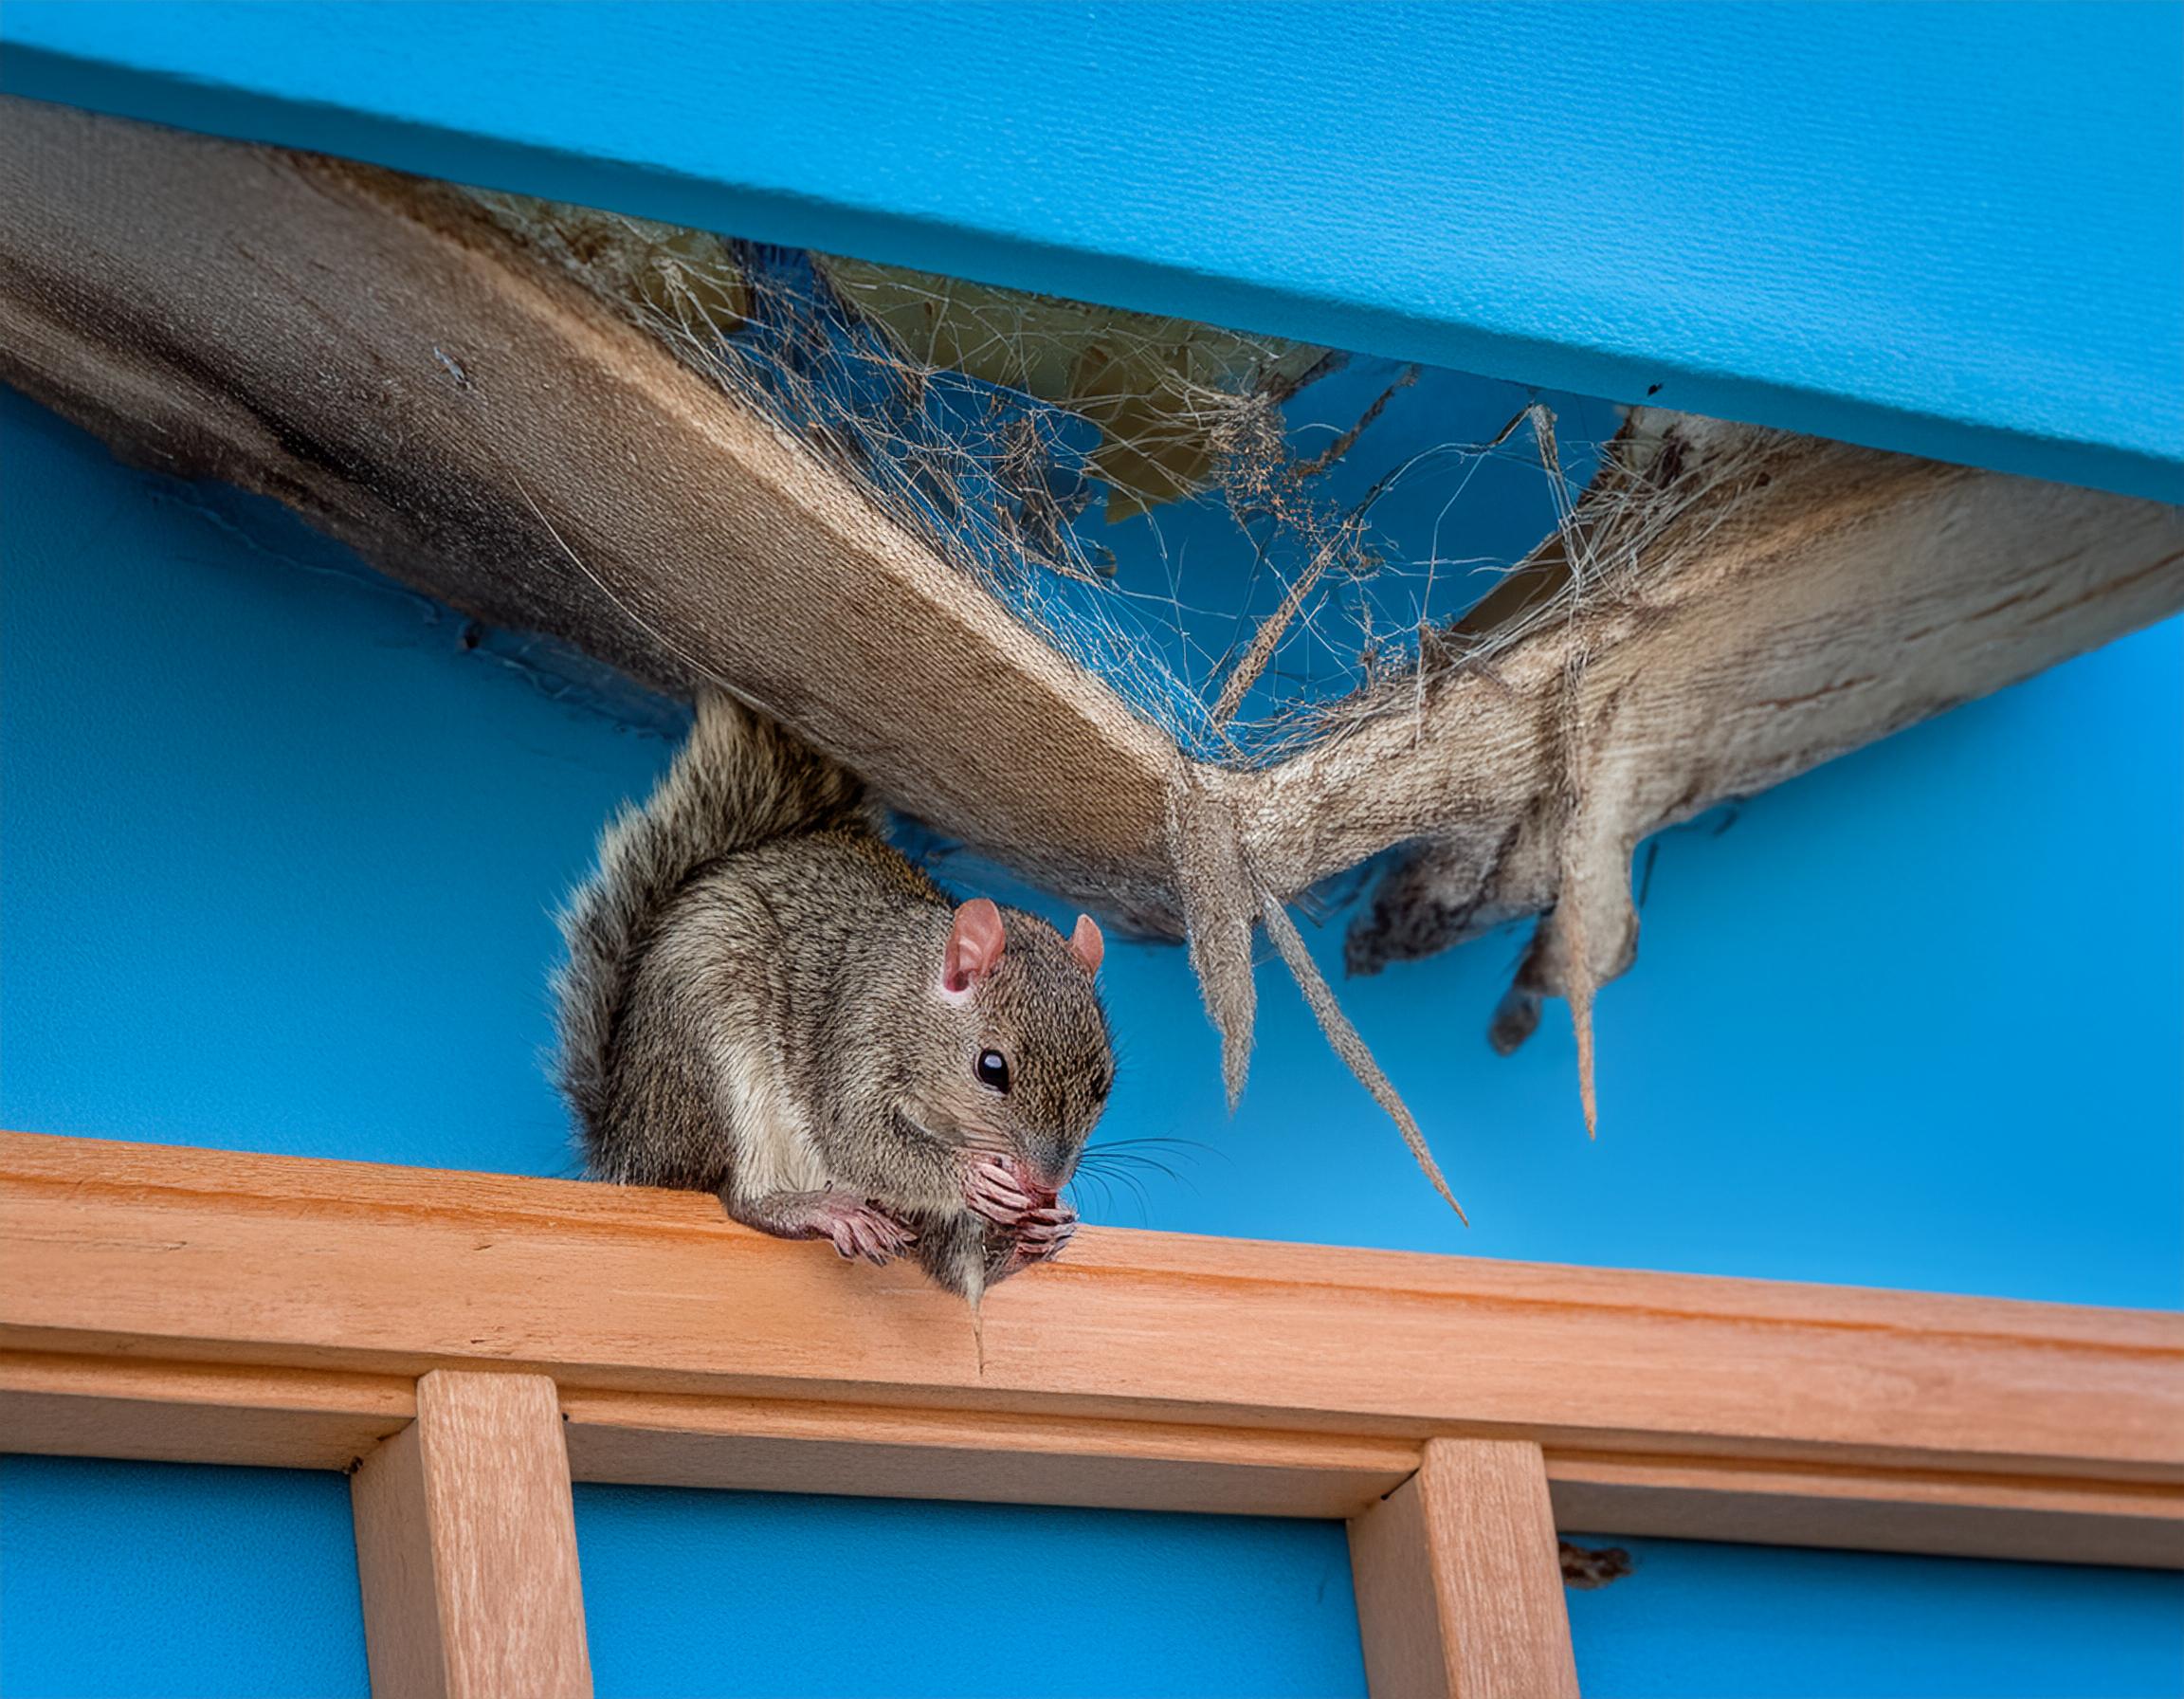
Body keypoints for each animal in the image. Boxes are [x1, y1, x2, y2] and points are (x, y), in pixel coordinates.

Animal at [554, 690, 1113, 1305]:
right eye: (992, 1068)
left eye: (1102, 1084)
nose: (1047, 1181)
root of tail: (625, 1140)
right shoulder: (858, 1031)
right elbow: (860, 1139)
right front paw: (970, 1176)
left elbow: (959, 1272)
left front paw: (1041, 1230)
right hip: (715, 1050)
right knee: (745, 1198)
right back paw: (820, 1211)